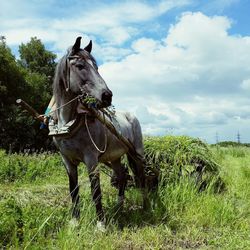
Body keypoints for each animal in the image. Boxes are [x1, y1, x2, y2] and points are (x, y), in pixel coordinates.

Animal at [52, 37, 146, 229]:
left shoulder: (91, 159)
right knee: (122, 176)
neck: (68, 125)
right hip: (115, 156)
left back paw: (145, 205)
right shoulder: (67, 160)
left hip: (137, 153)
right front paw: (75, 221)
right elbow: (73, 189)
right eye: (80, 66)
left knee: (140, 176)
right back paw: (119, 205)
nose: (107, 96)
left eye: (97, 67)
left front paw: (101, 224)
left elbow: (96, 191)